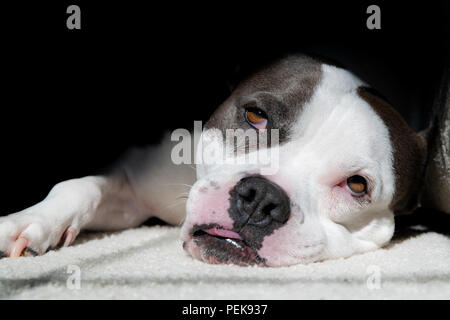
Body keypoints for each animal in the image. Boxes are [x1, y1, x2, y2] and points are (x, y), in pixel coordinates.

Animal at [0, 54, 448, 264]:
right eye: (255, 115)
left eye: (356, 185)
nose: (261, 198)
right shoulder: (135, 188)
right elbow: (79, 185)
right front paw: (29, 222)